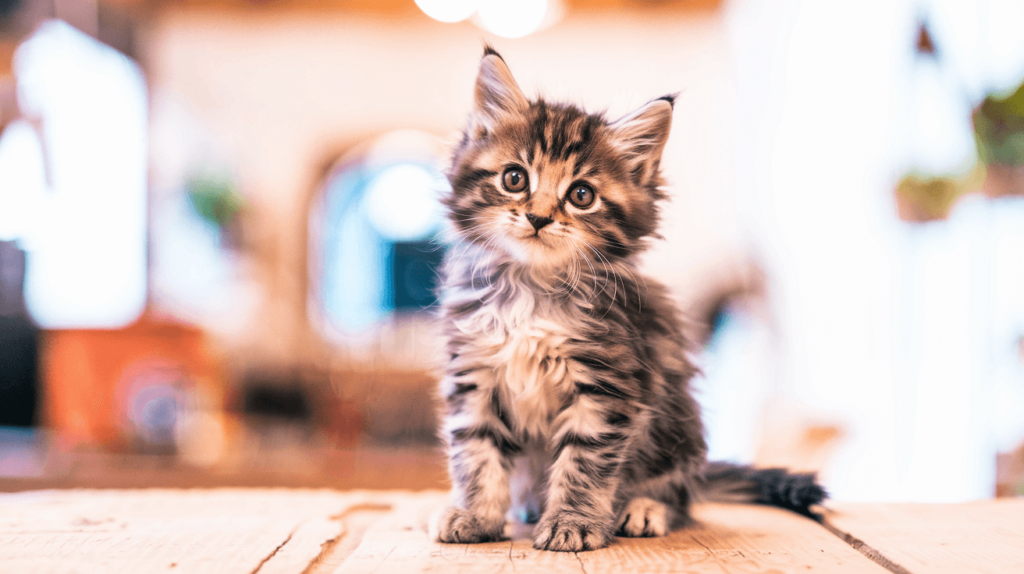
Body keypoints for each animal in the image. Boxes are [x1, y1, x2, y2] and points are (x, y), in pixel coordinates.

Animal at [430, 48, 823, 552]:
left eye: (581, 195)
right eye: (514, 179)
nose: (538, 218)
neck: (533, 290)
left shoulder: (606, 385)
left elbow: (584, 462)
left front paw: (573, 522)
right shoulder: (475, 376)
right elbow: (477, 452)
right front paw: (476, 515)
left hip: (677, 423)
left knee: (678, 494)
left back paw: (641, 508)